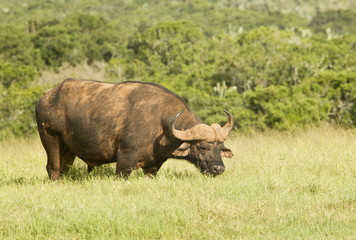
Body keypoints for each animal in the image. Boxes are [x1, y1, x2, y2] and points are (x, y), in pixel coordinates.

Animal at [35, 79, 234, 180]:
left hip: (69, 150)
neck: (161, 125)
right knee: (53, 168)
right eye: (202, 147)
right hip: (50, 140)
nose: (219, 169)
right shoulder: (125, 158)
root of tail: (46, 98)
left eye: (219, 147)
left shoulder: (154, 165)